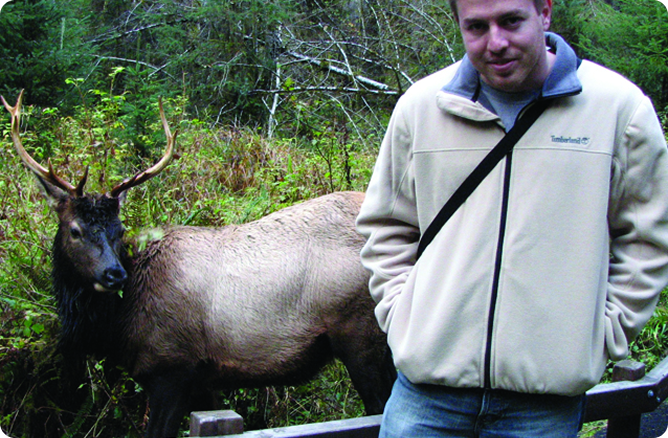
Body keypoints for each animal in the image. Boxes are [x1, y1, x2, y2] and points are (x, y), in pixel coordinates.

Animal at [2, 91, 396, 438]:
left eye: (120, 229)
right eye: (75, 230)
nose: (114, 274)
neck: (119, 326)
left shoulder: (171, 368)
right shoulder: (206, 380)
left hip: (362, 336)